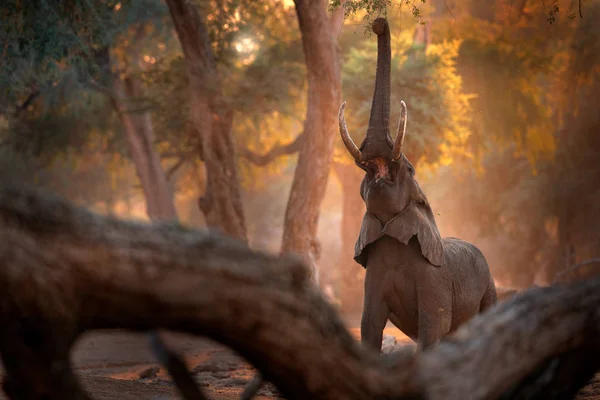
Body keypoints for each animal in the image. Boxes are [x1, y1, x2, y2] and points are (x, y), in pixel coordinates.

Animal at [338, 18, 496, 354]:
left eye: (409, 169)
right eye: (364, 176)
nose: (378, 23)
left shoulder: (435, 278)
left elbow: (433, 325)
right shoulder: (373, 276)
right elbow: (369, 324)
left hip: (489, 285)